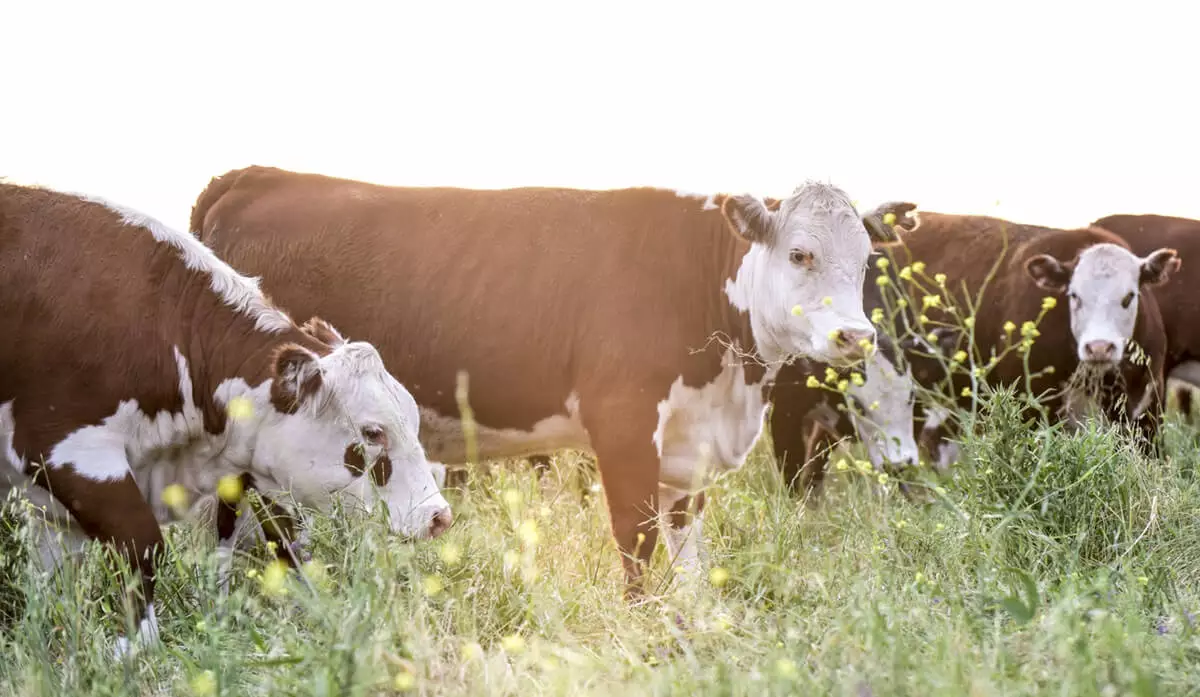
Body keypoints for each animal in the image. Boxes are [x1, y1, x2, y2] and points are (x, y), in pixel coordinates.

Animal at [192, 164, 892, 592]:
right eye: (800, 253)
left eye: (865, 260)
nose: (855, 337)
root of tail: (252, 177)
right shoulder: (624, 428)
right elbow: (635, 543)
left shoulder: (687, 447)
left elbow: (688, 551)